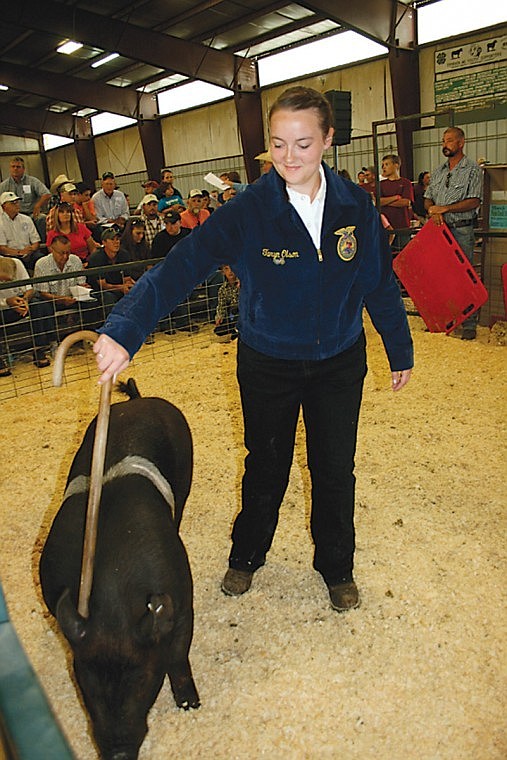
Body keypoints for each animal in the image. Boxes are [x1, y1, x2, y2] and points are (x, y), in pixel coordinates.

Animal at [39, 379, 200, 760]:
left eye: (142, 680)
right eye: (85, 684)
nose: (118, 754)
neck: (113, 608)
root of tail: (138, 402)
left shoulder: (182, 602)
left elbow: (178, 655)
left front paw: (190, 704)